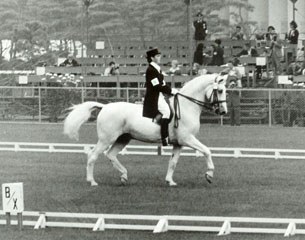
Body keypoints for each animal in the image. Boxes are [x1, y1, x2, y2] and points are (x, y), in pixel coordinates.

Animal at [63, 74, 226, 187]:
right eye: (220, 91)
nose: (223, 111)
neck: (187, 106)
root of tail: (104, 106)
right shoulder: (188, 139)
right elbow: (207, 151)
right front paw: (209, 175)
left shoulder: (178, 143)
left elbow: (173, 162)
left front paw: (170, 181)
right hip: (106, 139)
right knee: (93, 156)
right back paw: (92, 181)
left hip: (123, 138)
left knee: (111, 155)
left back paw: (124, 176)